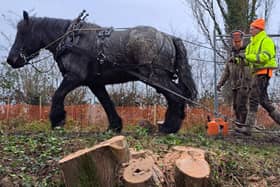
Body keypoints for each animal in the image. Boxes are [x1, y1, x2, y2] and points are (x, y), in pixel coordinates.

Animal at [6, 10, 197, 133]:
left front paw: (57, 120)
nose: (11, 59)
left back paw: (169, 127)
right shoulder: (95, 83)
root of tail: (168, 37)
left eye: (22, 33)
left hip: (154, 76)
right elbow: (106, 102)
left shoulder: (74, 76)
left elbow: (58, 94)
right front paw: (114, 126)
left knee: (175, 96)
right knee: (176, 95)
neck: (70, 39)